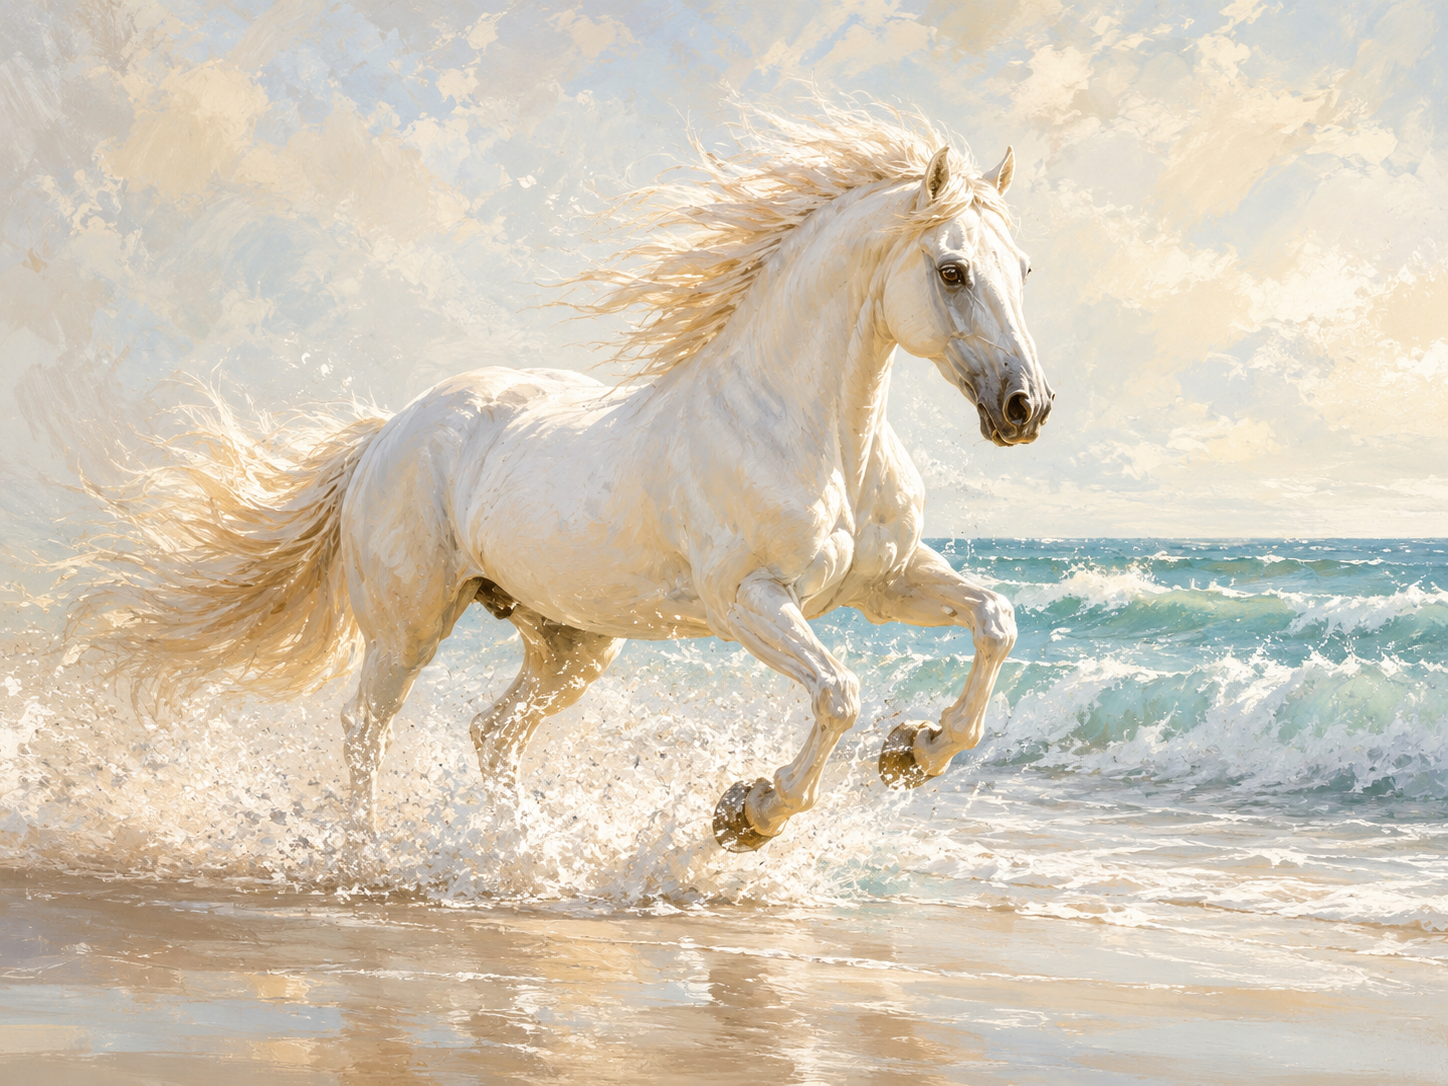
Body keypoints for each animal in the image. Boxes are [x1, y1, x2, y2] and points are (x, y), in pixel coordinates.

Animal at [70, 102, 1052, 853]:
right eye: (953, 270)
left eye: (1025, 269)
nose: (1026, 407)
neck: (811, 434)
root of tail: (390, 428)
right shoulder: (750, 601)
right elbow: (839, 694)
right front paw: (751, 814)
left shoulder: (884, 584)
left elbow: (995, 621)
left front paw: (917, 751)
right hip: (410, 628)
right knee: (365, 729)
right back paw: (366, 855)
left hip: (571, 643)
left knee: (491, 737)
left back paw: (527, 858)